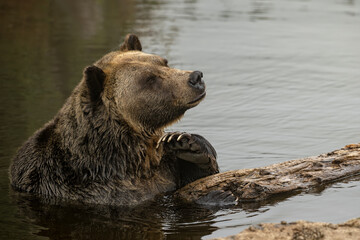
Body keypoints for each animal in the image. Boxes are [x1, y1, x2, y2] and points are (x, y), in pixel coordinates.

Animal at [9, 34, 219, 206]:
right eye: (149, 79)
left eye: (164, 62)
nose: (195, 77)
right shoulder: (98, 190)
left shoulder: (163, 173)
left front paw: (184, 143)